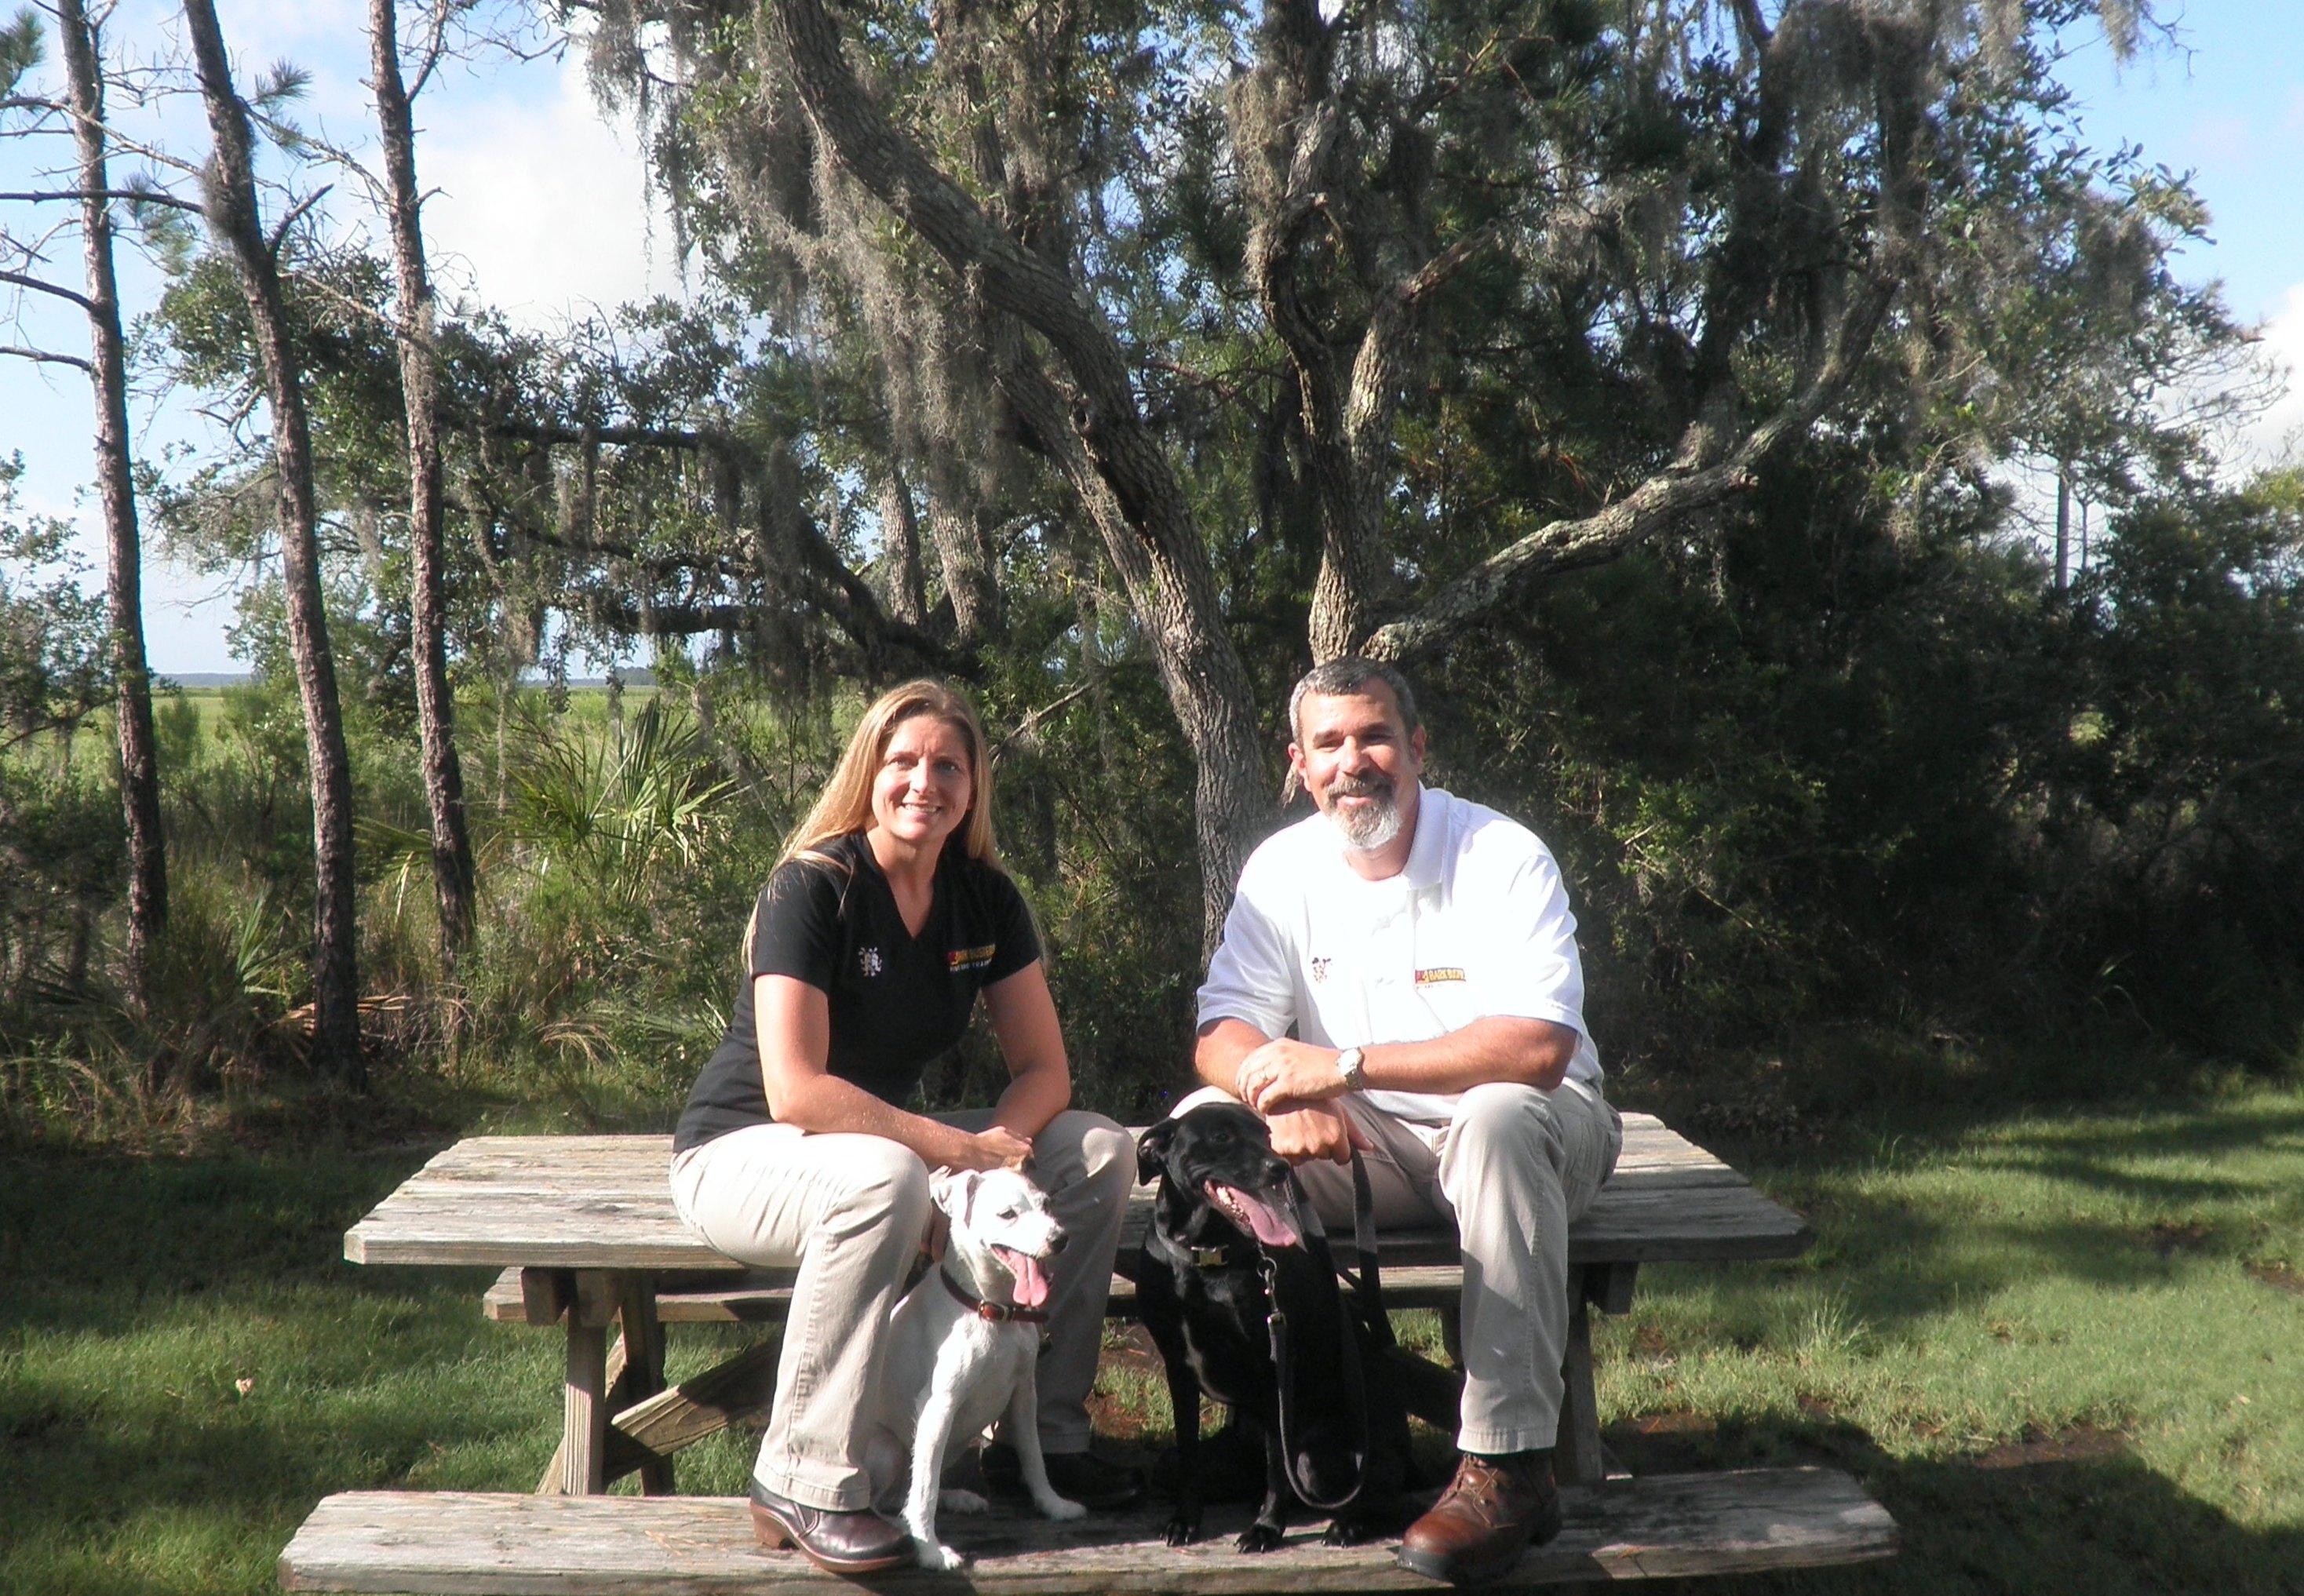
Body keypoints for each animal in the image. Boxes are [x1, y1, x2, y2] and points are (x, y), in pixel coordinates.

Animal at [866, 1165, 1092, 1565]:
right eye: (1007, 1214)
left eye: (1047, 1204)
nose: (1060, 1239)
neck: (993, 1310)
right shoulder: (938, 1407)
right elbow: (925, 1490)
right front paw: (930, 1550)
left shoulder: (1024, 1394)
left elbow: (1034, 1456)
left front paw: (1052, 1504)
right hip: (889, 1447)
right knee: (888, 1500)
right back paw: (904, 1526)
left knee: (906, 1489)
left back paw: (958, 1498)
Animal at [1128, 1100, 1401, 1547]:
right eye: (1221, 1137)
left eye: (1267, 1136)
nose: (1281, 1168)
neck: (1206, 1255)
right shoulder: (1177, 1369)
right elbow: (1188, 1453)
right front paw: (1186, 1520)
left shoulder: (1273, 1370)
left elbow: (1277, 1466)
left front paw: (1267, 1528)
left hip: (1323, 1460)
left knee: (1382, 1498)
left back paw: (1348, 1525)